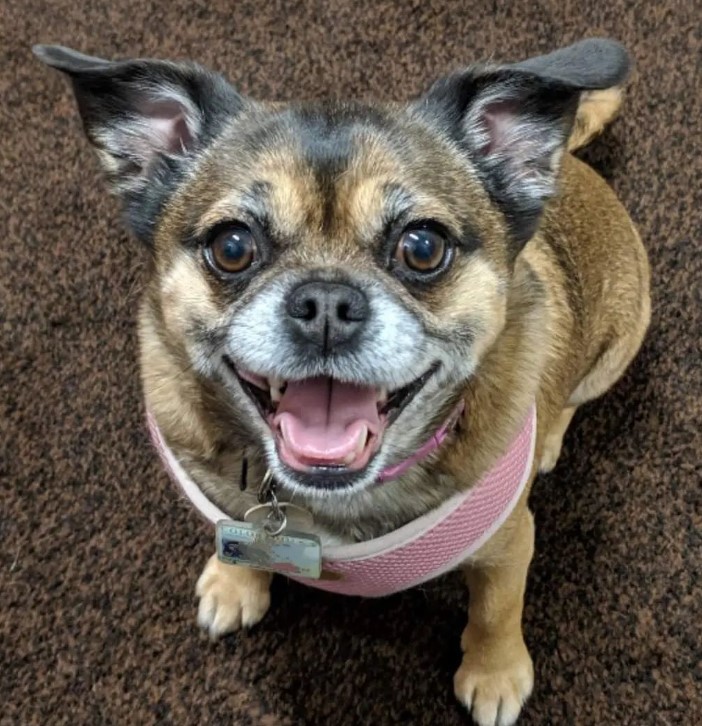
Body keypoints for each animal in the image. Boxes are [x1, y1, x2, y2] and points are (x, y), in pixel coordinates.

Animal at [35, 39, 652, 726]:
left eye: (422, 246)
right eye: (231, 246)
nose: (326, 303)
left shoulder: (509, 544)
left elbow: (495, 609)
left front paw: (494, 675)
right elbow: (237, 537)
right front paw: (234, 582)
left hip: (618, 345)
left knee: (573, 399)